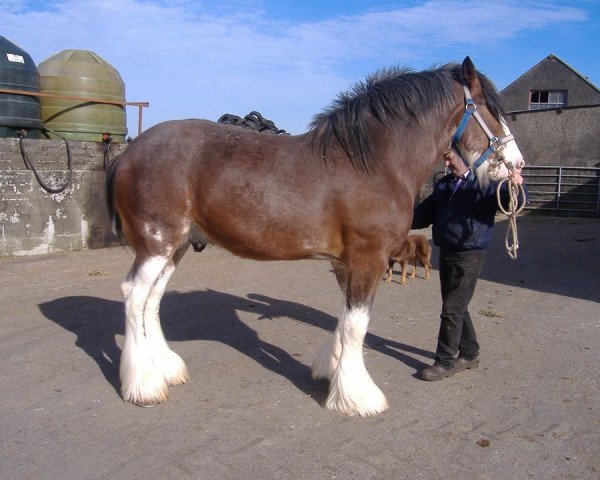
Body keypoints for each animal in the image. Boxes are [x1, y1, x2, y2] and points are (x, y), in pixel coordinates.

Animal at [108, 57, 524, 416]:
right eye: (488, 108)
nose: (516, 165)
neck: (372, 162)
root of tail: (127, 154)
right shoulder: (369, 259)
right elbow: (357, 324)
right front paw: (358, 398)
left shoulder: (346, 263)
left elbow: (345, 318)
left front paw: (331, 371)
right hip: (156, 245)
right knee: (134, 296)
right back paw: (143, 385)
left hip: (173, 248)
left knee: (151, 302)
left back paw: (165, 369)